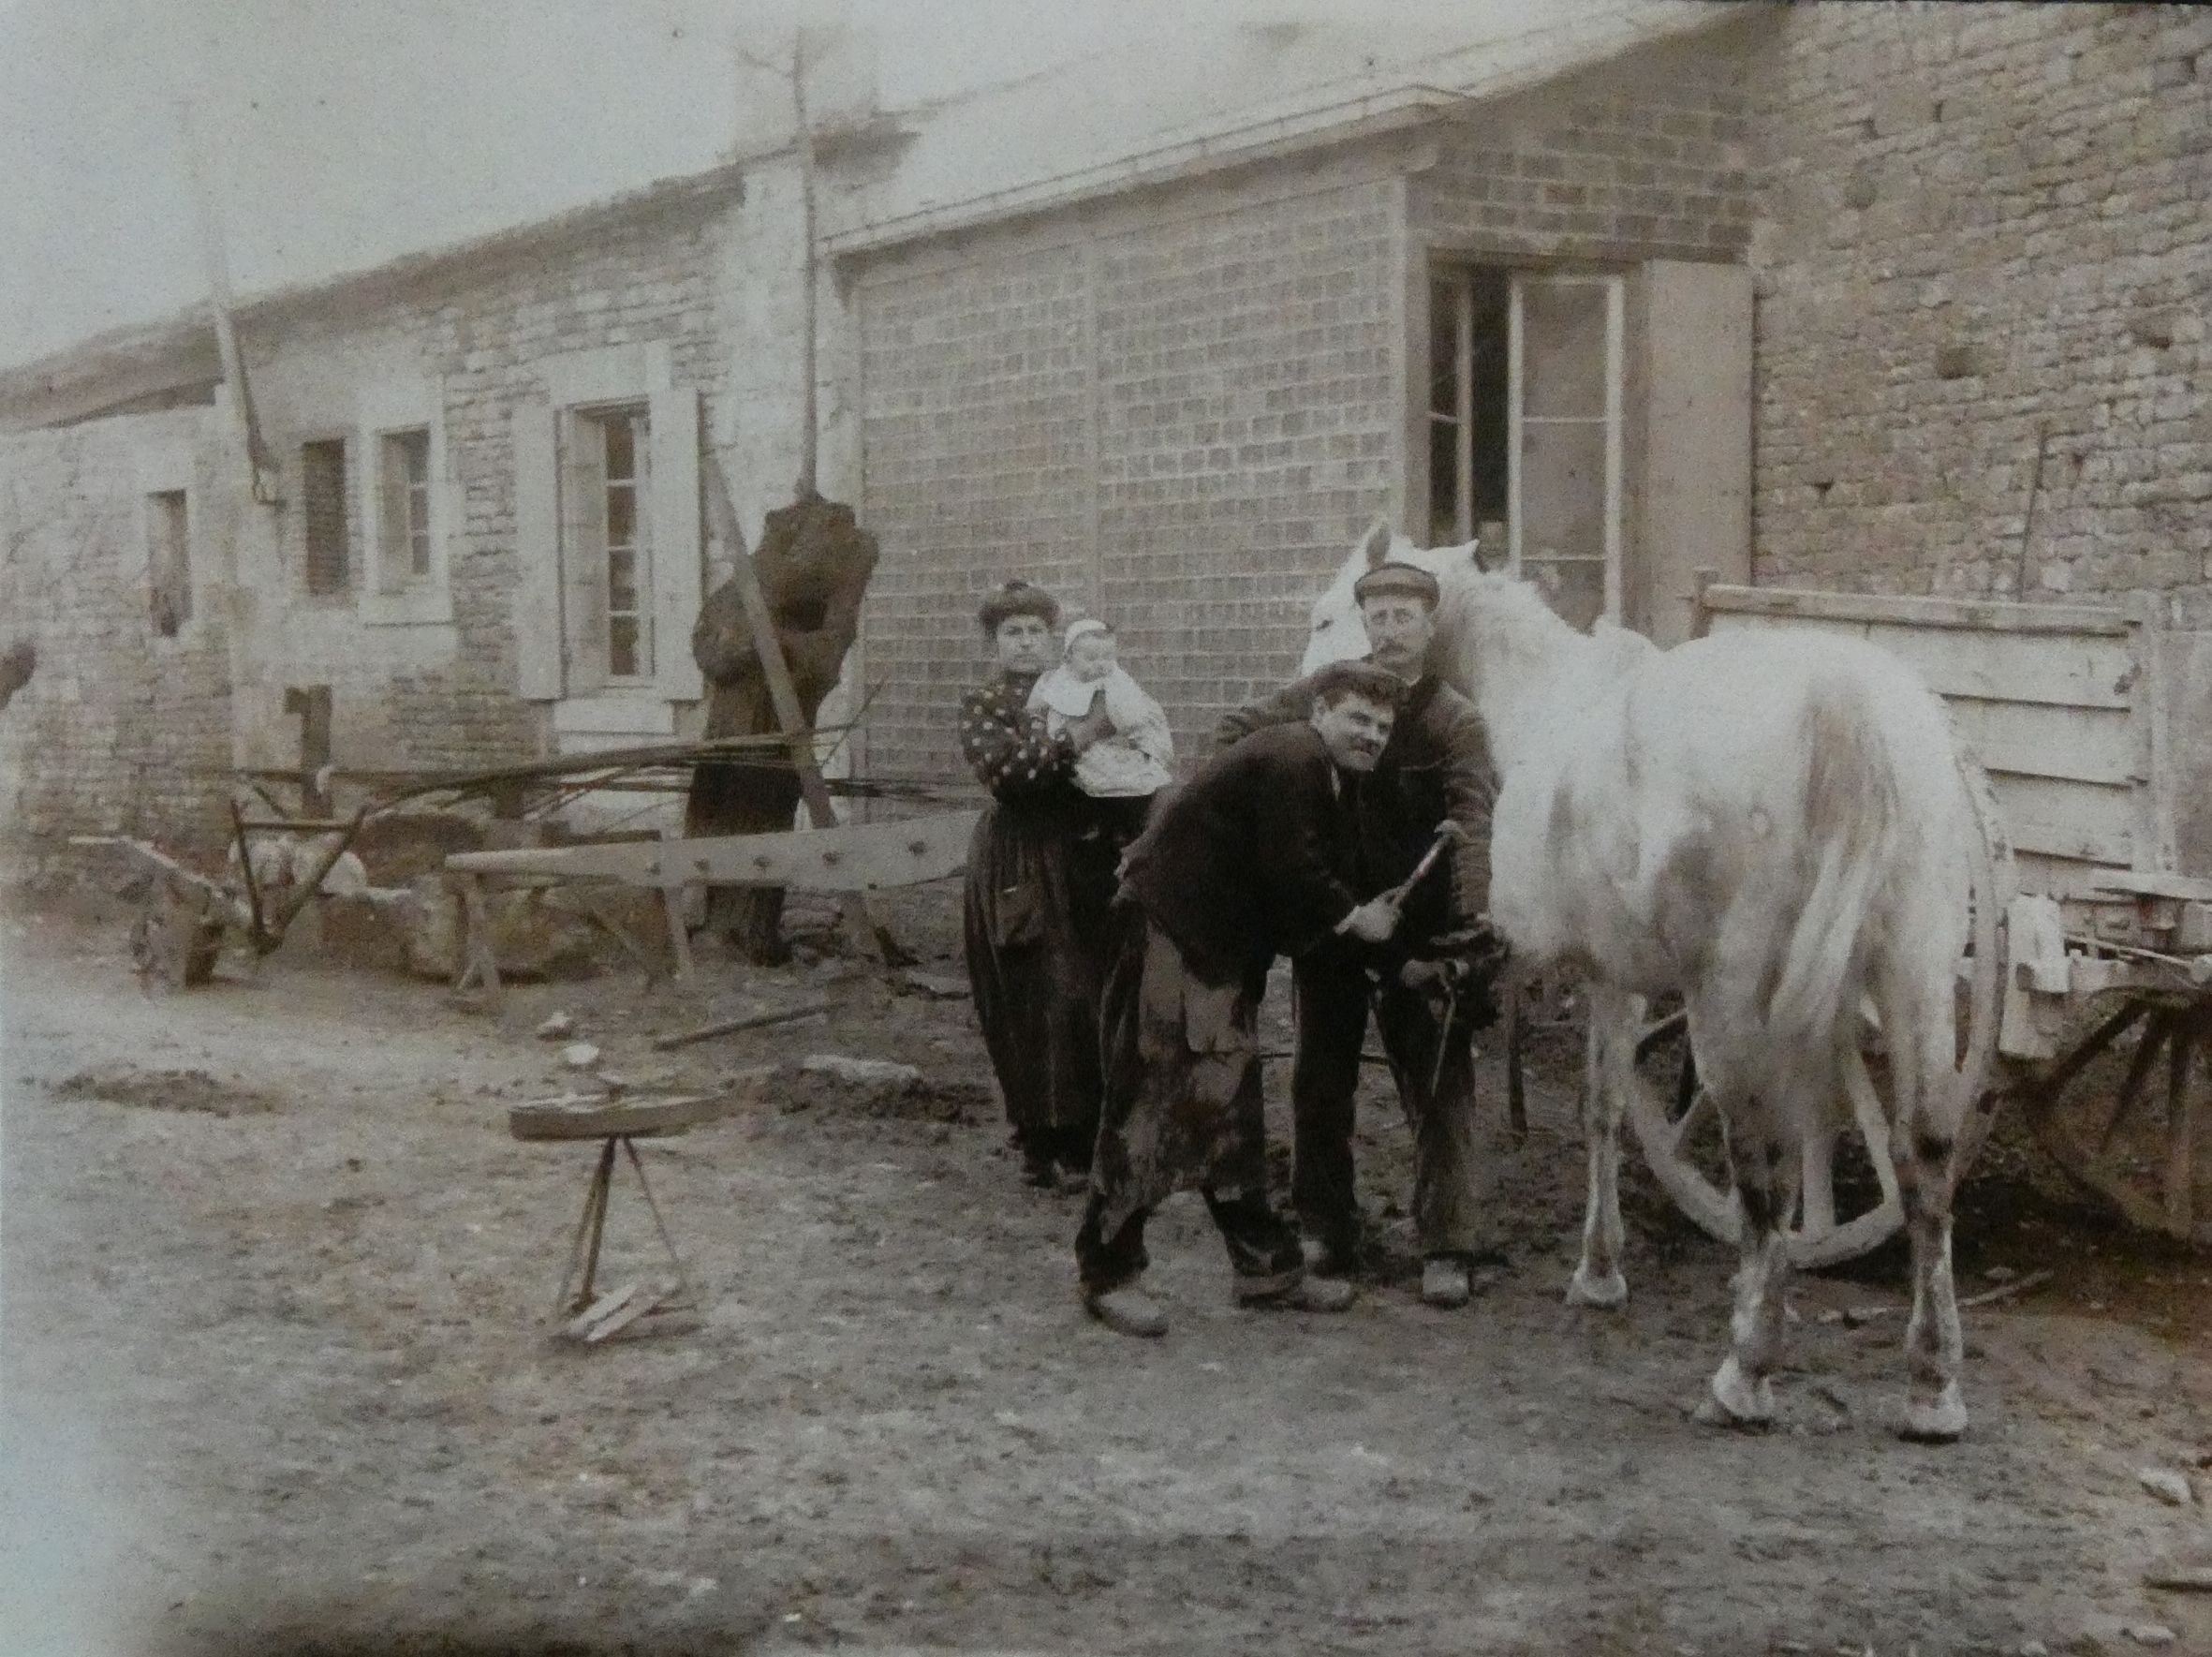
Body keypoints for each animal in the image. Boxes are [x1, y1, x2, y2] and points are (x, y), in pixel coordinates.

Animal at [1300, 526, 2017, 1433]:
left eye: (1329, 616)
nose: (1311, 699)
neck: (1535, 699)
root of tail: (1844, 700)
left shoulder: (1609, 979)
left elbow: (1594, 1109)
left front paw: (1597, 1268)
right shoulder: (1618, 977)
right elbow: (1605, 1106)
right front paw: (1600, 1272)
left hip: (1734, 1005)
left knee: (1765, 1164)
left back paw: (1745, 1370)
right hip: (1916, 977)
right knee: (1923, 1151)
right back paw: (1932, 1385)